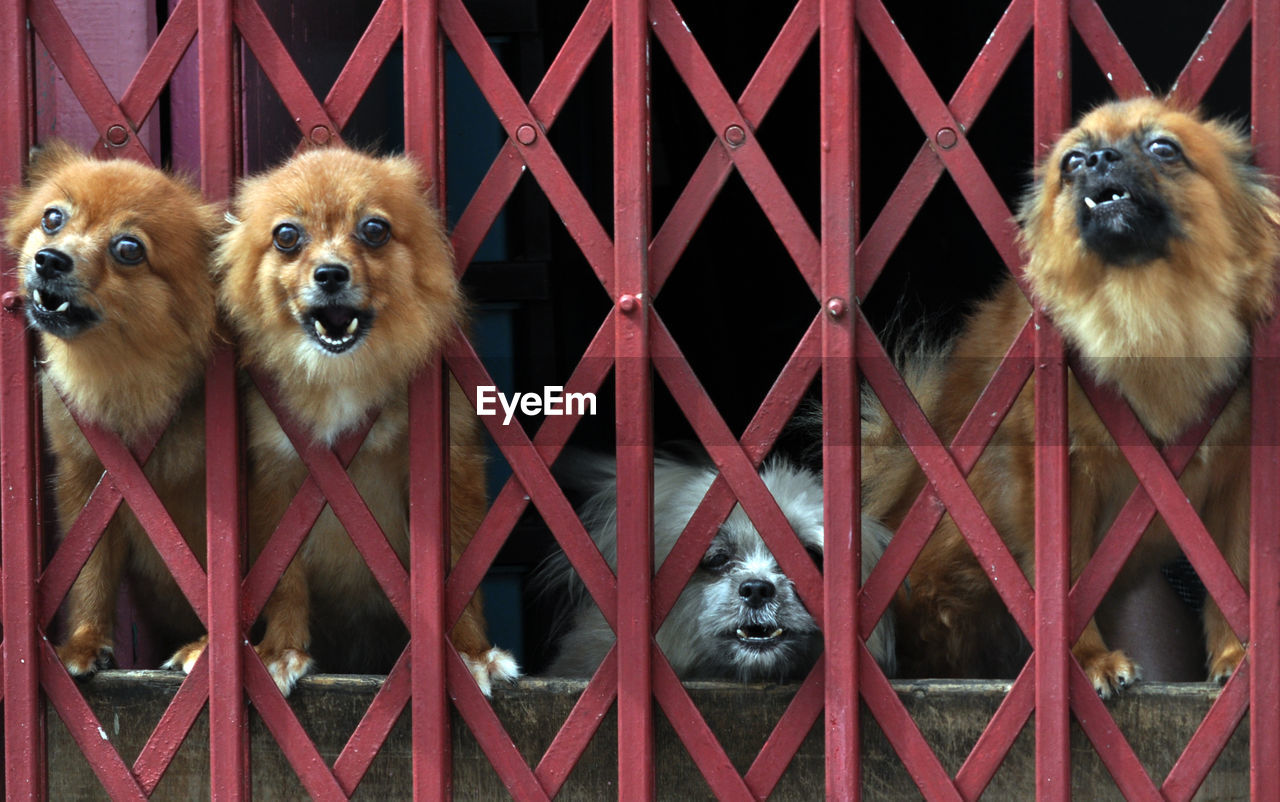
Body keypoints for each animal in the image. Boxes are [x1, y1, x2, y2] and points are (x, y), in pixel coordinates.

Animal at [3, 142, 220, 675]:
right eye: (53, 218)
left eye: (128, 249)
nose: (49, 259)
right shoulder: (91, 483)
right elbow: (90, 569)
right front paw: (83, 643)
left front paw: (209, 646)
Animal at [199, 149, 514, 695]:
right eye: (287, 236)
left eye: (373, 230)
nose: (330, 273)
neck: (341, 375)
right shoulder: (277, 473)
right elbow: (284, 575)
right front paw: (280, 652)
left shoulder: (452, 467)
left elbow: (459, 572)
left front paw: (469, 654)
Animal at [870, 95, 1280, 695]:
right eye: (1072, 162)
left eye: (1163, 148)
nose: (1098, 160)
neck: (1149, 311)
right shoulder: (1059, 481)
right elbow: (1066, 582)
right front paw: (1088, 661)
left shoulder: (1239, 482)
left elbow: (1235, 575)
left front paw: (1237, 657)